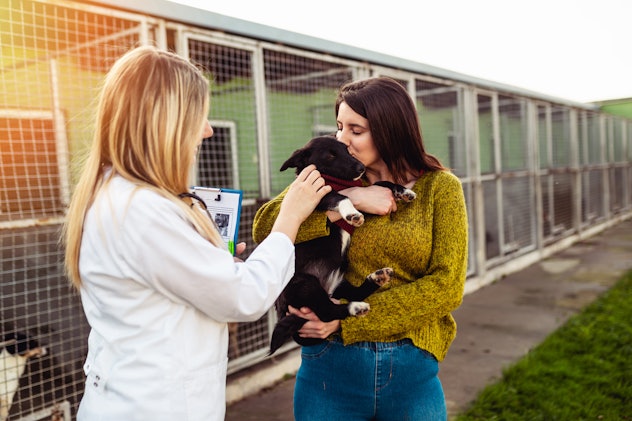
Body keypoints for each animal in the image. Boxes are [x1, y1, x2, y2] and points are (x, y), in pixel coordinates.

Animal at [268, 135, 412, 354]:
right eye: (330, 155)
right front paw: (352, 213)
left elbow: (380, 183)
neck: (337, 182)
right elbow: (341, 196)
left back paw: (377, 278)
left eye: (347, 150)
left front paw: (403, 190)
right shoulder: (316, 196)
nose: (361, 167)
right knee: (327, 311)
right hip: (304, 284)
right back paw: (355, 307)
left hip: (339, 282)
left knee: (352, 293)